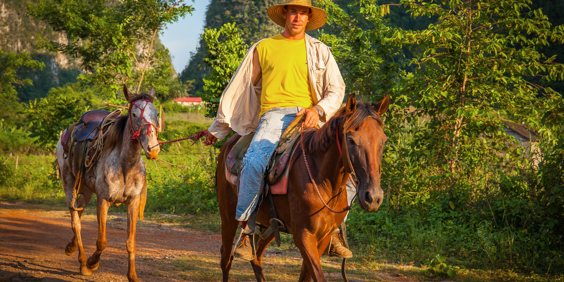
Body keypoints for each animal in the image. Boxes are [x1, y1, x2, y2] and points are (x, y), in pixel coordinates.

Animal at [55, 86, 160, 282]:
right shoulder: (103, 200)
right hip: (68, 184)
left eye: (156, 113)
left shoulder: (133, 202)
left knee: (78, 214)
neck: (125, 165)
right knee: (75, 221)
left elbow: (131, 242)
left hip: (87, 191)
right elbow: (102, 241)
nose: (153, 149)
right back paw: (83, 263)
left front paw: (132, 275)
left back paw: (72, 247)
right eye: (134, 114)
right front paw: (92, 263)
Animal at [215, 94, 388, 282]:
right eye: (350, 139)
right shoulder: (303, 236)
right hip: (228, 216)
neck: (323, 181)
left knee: (256, 258)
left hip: (270, 225)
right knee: (226, 258)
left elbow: (307, 276)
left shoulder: (323, 237)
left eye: (383, 140)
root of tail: (229, 144)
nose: (373, 198)